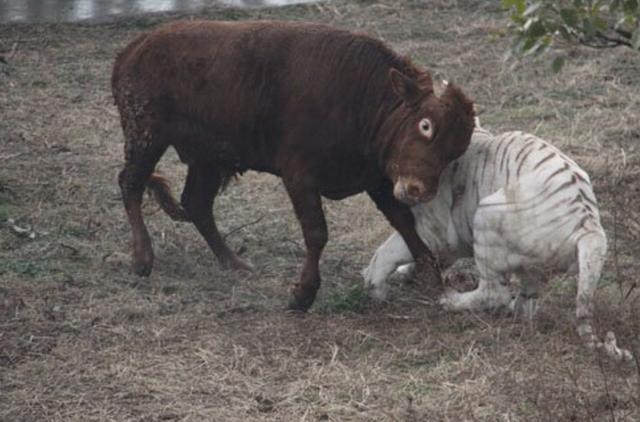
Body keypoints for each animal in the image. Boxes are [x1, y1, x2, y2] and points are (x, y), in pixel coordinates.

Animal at [111, 19, 476, 310]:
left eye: (456, 149)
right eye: (425, 125)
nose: (419, 190)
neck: (362, 96)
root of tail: (133, 49)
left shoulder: (377, 181)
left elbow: (404, 222)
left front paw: (432, 276)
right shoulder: (299, 176)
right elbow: (316, 232)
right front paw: (302, 295)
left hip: (207, 157)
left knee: (196, 203)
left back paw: (234, 262)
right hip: (146, 137)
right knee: (131, 183)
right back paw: (142, 259)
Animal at [362, 122, 632, 362]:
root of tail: (589, 226)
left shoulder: (433, 231)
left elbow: (389, 250)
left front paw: (375, 284)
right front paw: (406, 274)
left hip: (487, 216)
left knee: (494, 293)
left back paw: (452, 301)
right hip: (533, 261)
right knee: (526, 303)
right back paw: (513, 310)